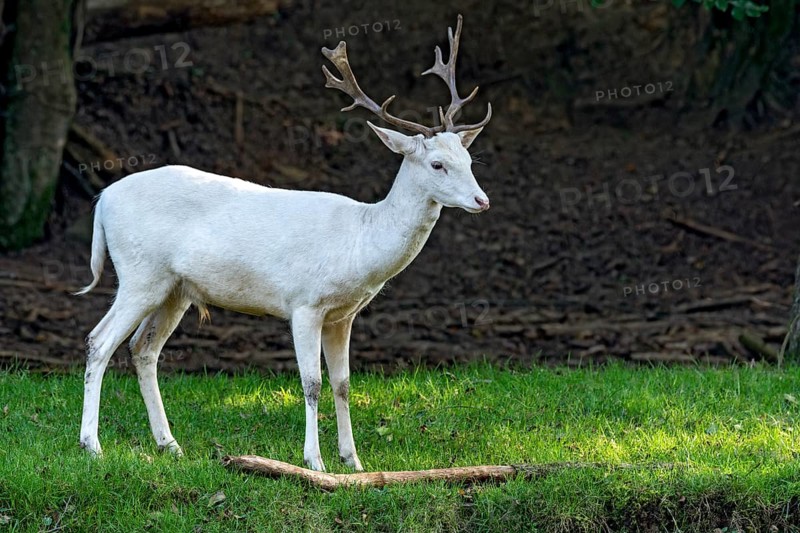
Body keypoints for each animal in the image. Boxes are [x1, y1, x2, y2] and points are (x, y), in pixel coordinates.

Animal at [76, 14, 492, 472]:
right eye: (437, 164)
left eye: (469, 160)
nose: (482, 200)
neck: (358, 244)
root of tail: (103, 200)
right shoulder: (304, 304)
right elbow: (311, 382)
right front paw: (315, 461)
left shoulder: (343, 316)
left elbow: (343, 383)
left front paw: (354, 461)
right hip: (139, 273)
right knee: (99, 341)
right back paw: (92, 445)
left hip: (175, 290)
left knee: (142, 349)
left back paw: (169, 444)